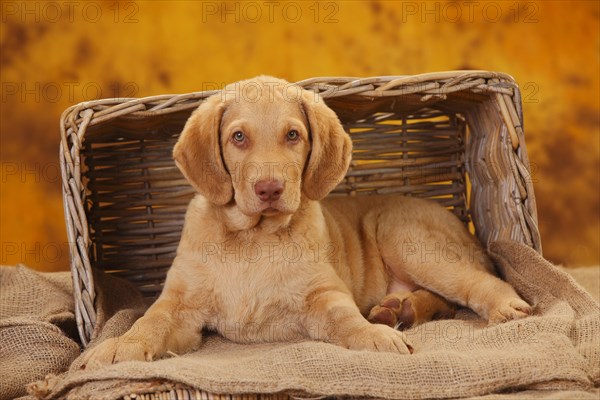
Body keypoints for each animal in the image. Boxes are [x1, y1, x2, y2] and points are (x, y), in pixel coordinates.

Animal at [82, 76, 532, 368]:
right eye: (238, 137)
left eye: (293, 135)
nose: (269, 189)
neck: (254, 239)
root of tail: (462, 228)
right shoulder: (180, 306)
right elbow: (151, 319)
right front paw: (119, 346)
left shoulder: (323, 295)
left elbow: (346, 319)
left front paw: (373, 337)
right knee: (440, 299)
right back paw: (397, 309)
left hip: (408, 240)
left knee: (476, 283)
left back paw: (499, 306)